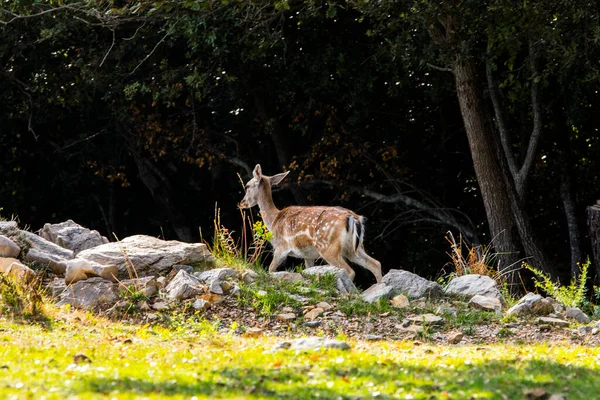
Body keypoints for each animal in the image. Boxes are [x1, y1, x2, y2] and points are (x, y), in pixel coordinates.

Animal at [238, 164, 382, 282]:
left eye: (247, 186)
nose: (242, 203)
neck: (274, 220)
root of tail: (354, 218)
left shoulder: (281, 247)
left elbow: (270, 270)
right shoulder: (307, 255)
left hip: (328, 247)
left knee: (350, 271)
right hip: (354, 248)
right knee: (376, 264)